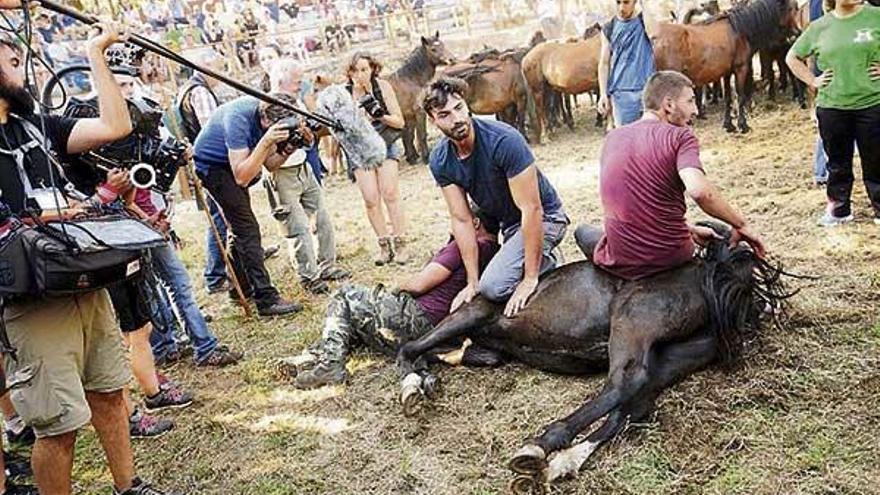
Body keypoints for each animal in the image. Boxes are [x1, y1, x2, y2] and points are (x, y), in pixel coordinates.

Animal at [396, 225, 796, 492]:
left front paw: (414, 386)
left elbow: (411, 349)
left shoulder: (471, 314)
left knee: (622, 384)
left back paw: (542, 445)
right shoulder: (489, 347)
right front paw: (430, 377)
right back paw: (561, 462)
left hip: (631, 323)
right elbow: (456, 353)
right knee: (632, 407)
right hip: (673, 359)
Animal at [652, 0, 804, 133]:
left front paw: (728, 125)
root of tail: (655, 39)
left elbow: (728, 98)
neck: (740, 29)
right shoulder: (741, 68)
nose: (798, 33)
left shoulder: (726, 72)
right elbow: (741, 95)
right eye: (792, 8)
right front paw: (743, 125)